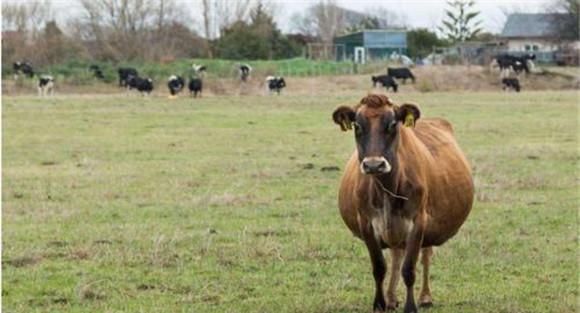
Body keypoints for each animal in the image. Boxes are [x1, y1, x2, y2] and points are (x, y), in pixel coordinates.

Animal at [334, 94, 474, 312]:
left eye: (393, 124)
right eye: (357, 125)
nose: (374, 164)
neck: (386, 188)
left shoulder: (418, 222)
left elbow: (409, 269)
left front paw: (411, 306)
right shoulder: (366, 224)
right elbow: (379, 267)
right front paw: (380, 303)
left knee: (425, 255)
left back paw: (425, 297)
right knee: (396, 255)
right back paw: (392, 298)